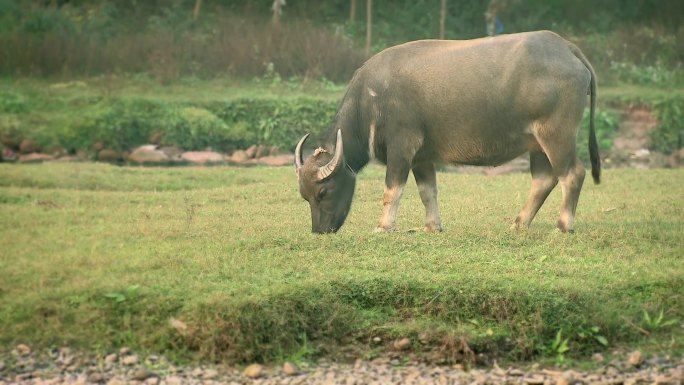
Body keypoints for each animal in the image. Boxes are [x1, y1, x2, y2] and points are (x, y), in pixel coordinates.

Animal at [294, 30, 600, 232]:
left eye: (323, 192)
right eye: (304, 196)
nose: (319, 230)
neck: (371, 101)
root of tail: (566, 47)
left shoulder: (402, 146)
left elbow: (392, 190)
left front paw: (383, 227)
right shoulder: (421, 157)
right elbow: (427, 191)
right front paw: (433, 226)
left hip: (557, 133)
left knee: (572, 174)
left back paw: (563, 225)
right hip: (536, 142)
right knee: (544, 179)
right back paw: (519, 223)